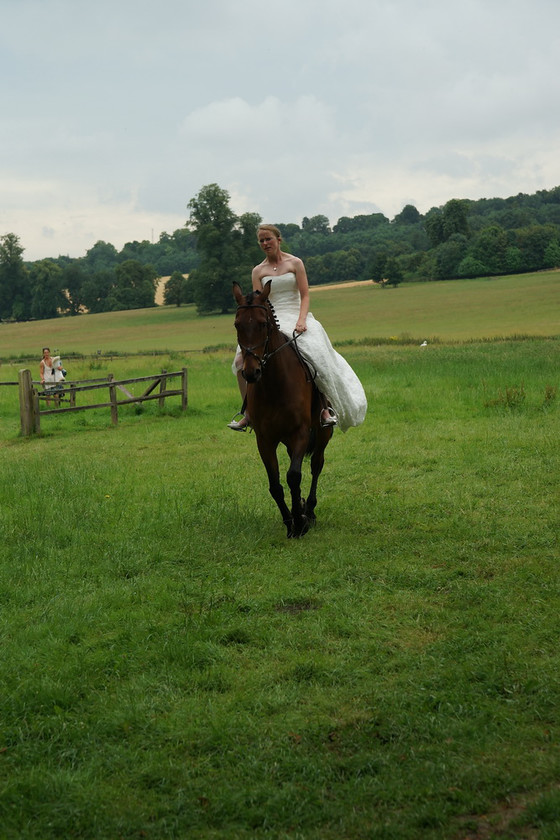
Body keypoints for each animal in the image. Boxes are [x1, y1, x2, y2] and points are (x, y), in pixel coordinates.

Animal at [233, 278, 332, 536]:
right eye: (237, 324)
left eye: (263, 323)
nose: (251, 372)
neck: (274, 385)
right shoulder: (265, 439)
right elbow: (275, 484)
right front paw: (290, 521)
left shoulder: (300, 432)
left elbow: (294, 475)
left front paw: (300, 522)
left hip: (323, 433)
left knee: (316, 465)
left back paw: (311, 510)